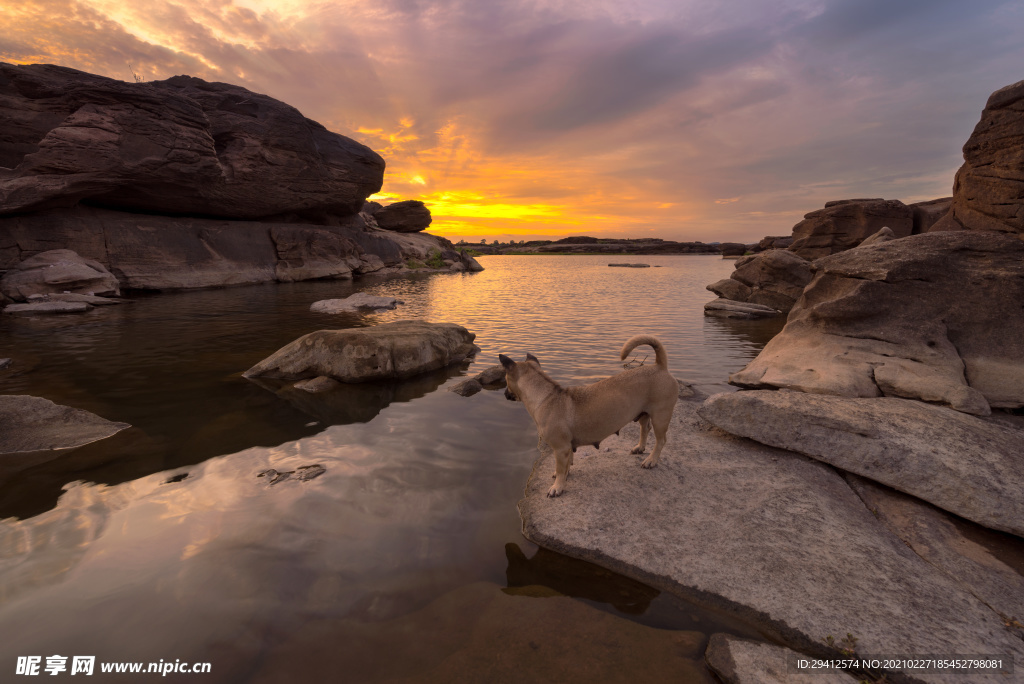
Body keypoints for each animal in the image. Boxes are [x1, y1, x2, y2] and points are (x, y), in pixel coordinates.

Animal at [497, 335, 675, 497]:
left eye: (505, 379)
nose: (504, 393)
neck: (547, 396)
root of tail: (660, 366)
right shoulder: (567, 448)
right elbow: (567, 465)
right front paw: (565, 476)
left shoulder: (560, 448)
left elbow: (560, 469)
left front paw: (557, 487)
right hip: (644, 414)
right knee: (644, 429)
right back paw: (640, 448)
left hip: (660, 418)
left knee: (661, 441)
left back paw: (651, 460)